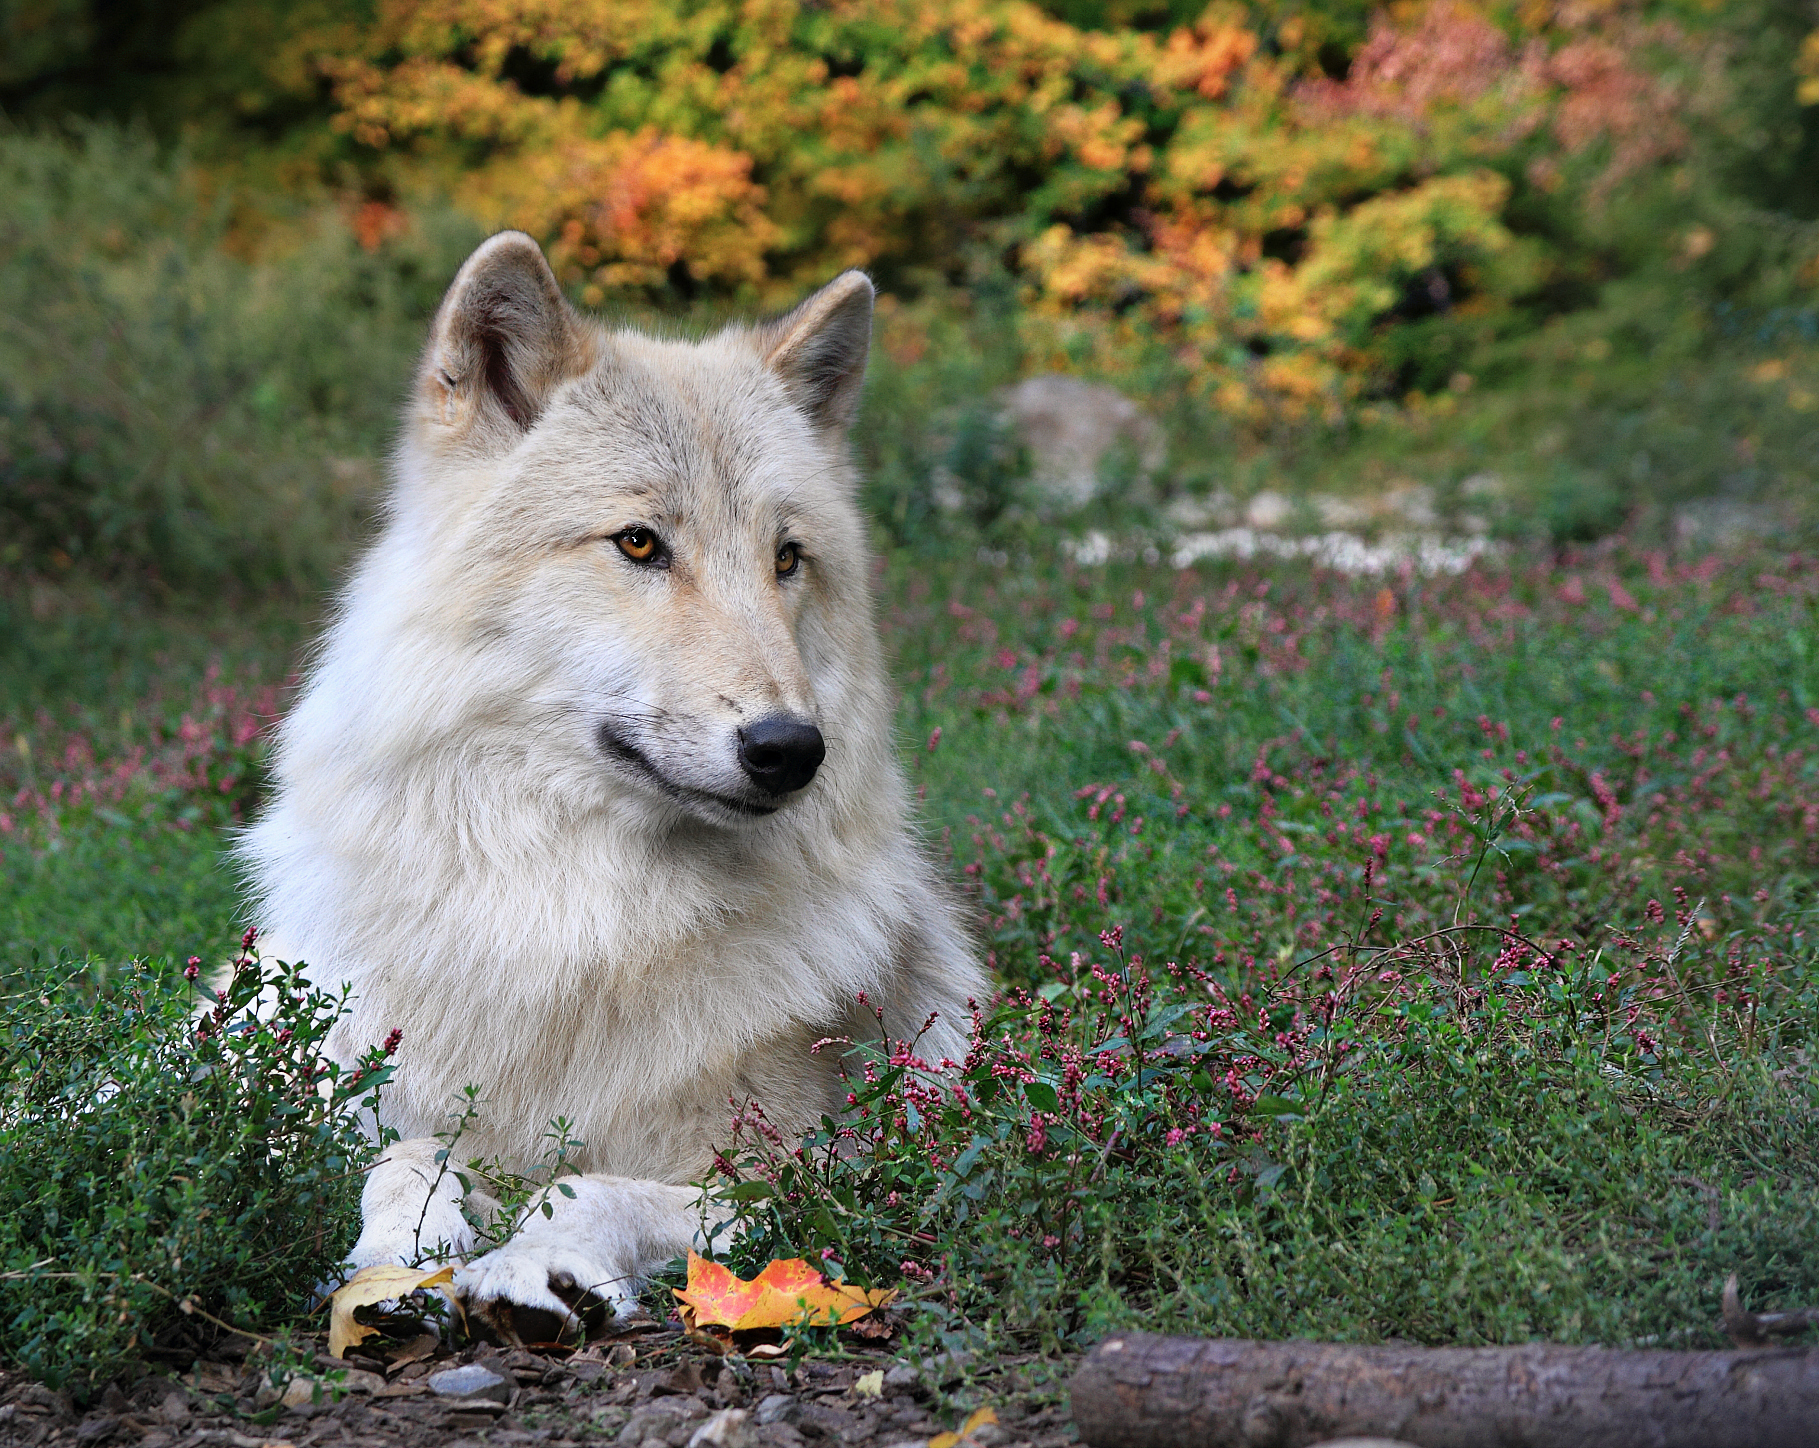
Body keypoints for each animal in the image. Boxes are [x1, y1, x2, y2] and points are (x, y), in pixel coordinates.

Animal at [241, 231, 989, 1338]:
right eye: (639, 542)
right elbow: (402, 1155)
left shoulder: (808, 1173)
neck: (576, 912)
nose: (790, 748)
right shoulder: (378, 1099)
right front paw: (395, 1265)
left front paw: (535, 1266)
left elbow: (588, 1184)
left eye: (787, 559)